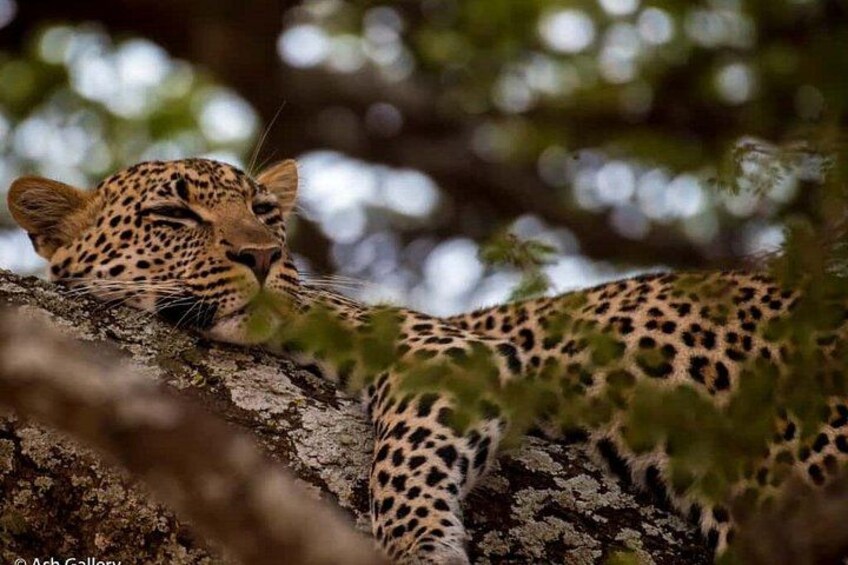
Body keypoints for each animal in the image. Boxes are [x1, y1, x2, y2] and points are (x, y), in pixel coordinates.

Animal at [7, 157, 848, 564]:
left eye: (265, 211)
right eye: (173, 215)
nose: (264, 254)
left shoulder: (447, 348)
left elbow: (405, 450)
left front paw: (417, 543)